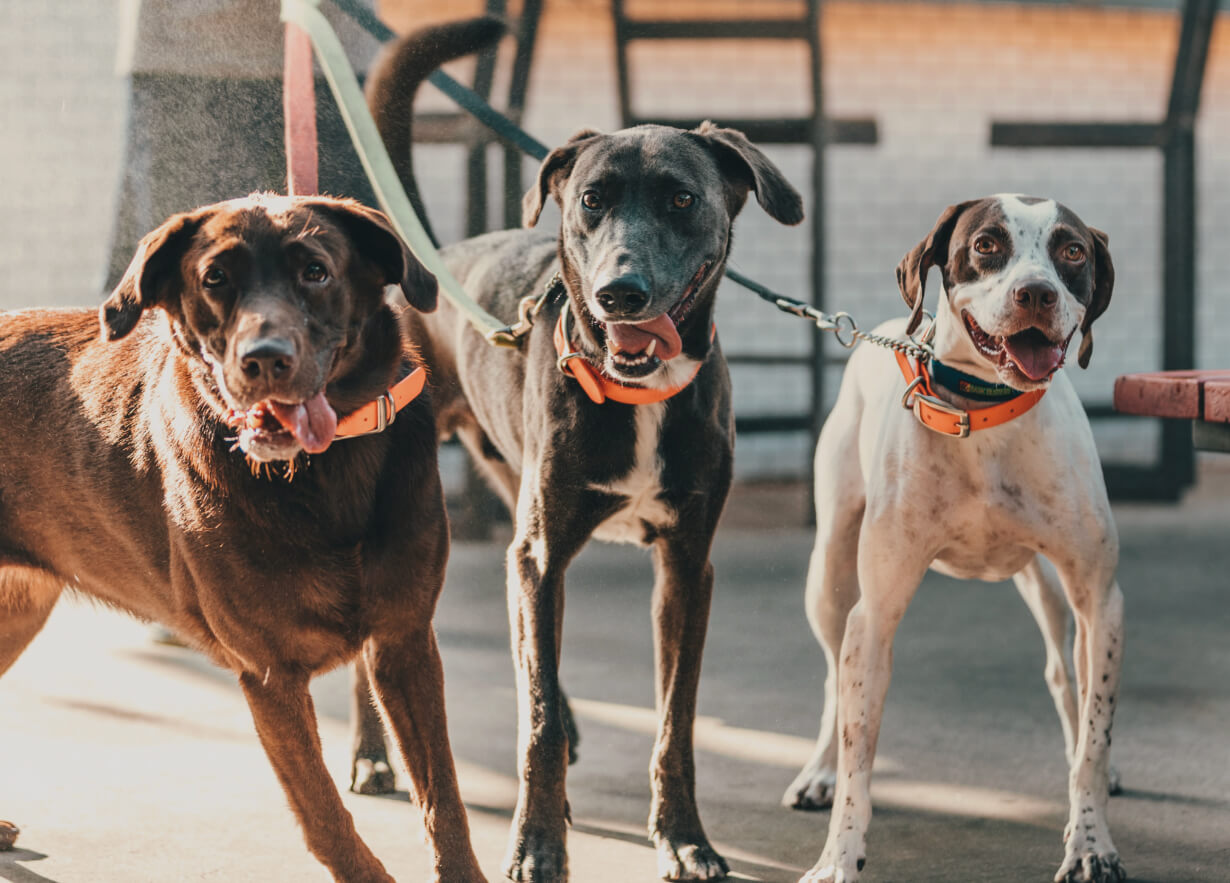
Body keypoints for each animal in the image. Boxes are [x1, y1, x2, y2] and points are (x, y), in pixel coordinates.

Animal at [1, 194, 489, 883]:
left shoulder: (405, 643)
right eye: (215, 279)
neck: (321, 473)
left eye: (316, 271)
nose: (264, 359)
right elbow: (325, 816)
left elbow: (442, 797)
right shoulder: (270, 675)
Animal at [361, 22, 806, 883]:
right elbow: (532, 721)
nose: (619, 293)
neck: (639, 392)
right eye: (591, 201)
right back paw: (371, 755)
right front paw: (536, 843)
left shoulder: (685, 565)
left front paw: (685, 836)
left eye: (682, 198)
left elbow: (674, 721)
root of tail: (430, 270)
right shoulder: (541, 555)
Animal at [787, 196, 1126, 883]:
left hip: (1048, 589)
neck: (985, 413)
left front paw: (1091, 842)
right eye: (986, 244)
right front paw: (838, 856)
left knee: (1065, 675)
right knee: (834, 678)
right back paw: (819, 772)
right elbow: (860, 754)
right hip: (830, 577)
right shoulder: (875, 614)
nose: (1036, 293)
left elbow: (1094, 735)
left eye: (1072, 251)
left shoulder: (1101, 601)